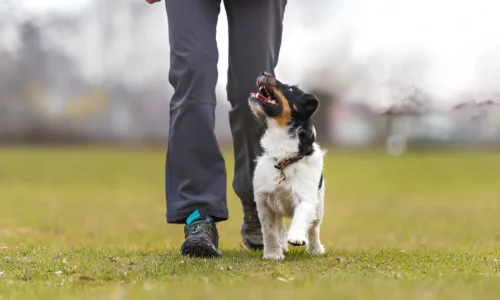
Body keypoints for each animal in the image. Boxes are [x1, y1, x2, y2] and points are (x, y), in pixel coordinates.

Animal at [249, 71, 326, 258]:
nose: (264, 72)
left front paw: (296, 237)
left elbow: (301, 216)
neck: (284, 159)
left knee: (314, 228)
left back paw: (315, 249)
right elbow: (269, 231)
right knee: (279, 226)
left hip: (319, 205)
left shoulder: (306, 197)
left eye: (291, 89)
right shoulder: (264, 201)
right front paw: (273, 254)